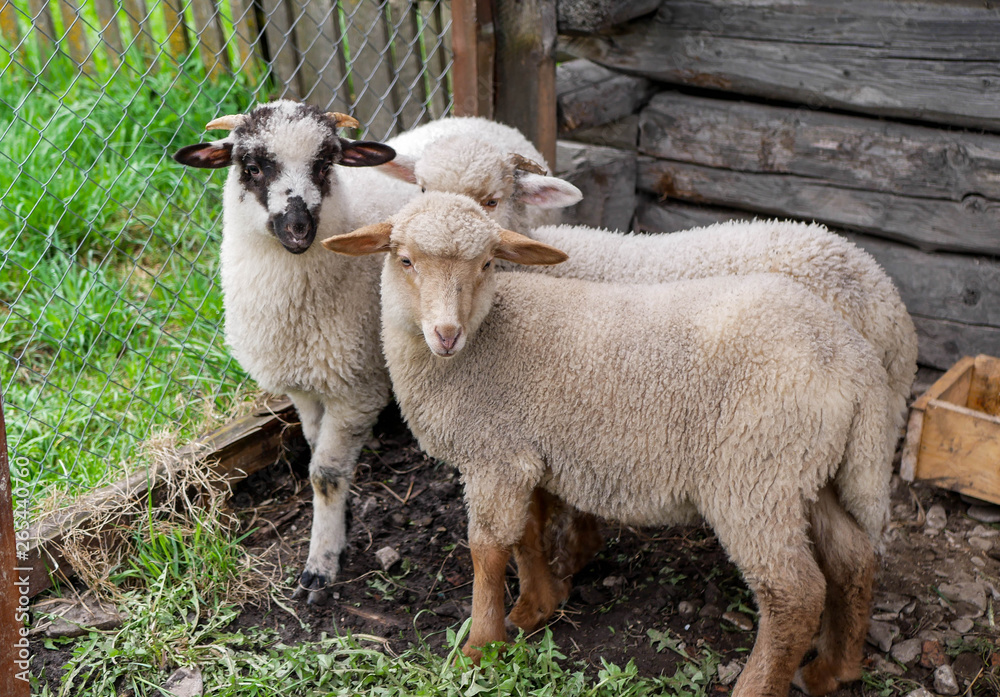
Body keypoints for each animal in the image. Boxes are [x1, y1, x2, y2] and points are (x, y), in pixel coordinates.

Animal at [172, 100, 419, 604]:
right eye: (251, 166)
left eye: (325, 165)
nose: (298, 228)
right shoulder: (304, 386)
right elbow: (313, 447)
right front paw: (339, 522)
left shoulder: (357, 386)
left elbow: (324, 473)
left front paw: (320, 565)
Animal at [322, 191, 896, 697]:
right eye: (405, 260)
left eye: (486, 263)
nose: (446, 333)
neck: (482, 342)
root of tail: (854, 359)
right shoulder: (525, 448)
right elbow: (527, 531)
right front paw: (537, 605)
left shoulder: (494, 454)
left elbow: (488, 549)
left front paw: (481, 648)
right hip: (805, 470)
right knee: (852, 558)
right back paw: (833, 670)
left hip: (753, 474)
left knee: (794, 595)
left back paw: (761, 685)